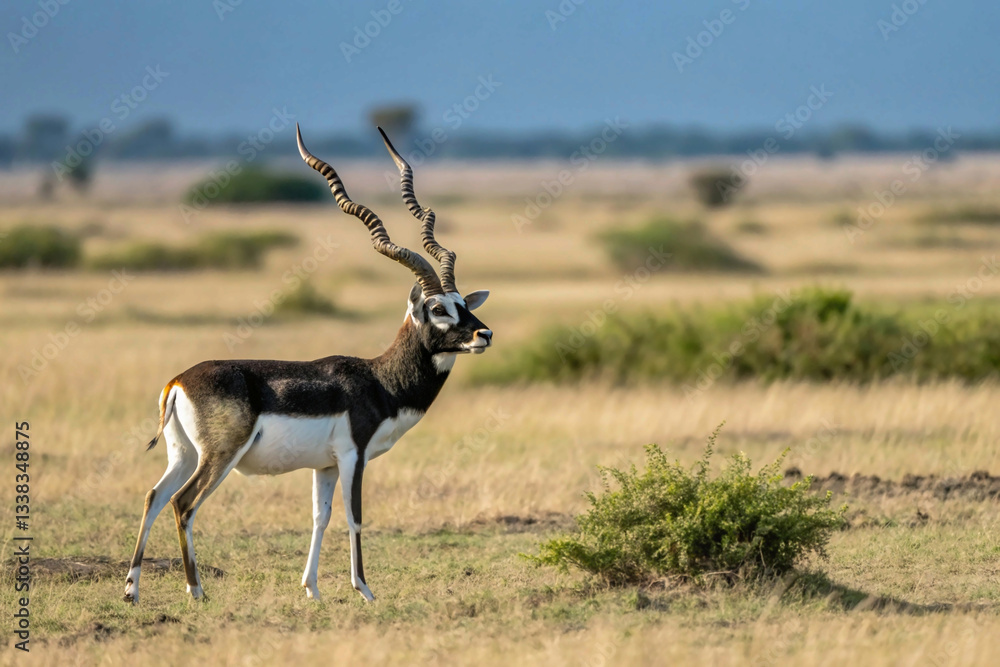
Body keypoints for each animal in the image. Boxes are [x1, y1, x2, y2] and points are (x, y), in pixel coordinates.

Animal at [123, 125, 492, 604]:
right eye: (437, 308)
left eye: (464, 303)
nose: (484, 334)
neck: (379, 380)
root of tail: (177, 382)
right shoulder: (354, 456)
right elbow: (354, 516)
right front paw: (365, 590)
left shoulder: (325, 465)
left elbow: (321, 516)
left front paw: (312, 589)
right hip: (219, 456)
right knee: (182, 504)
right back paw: (196, 590)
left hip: (184, 453)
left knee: (153, 496)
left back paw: (131, 589)